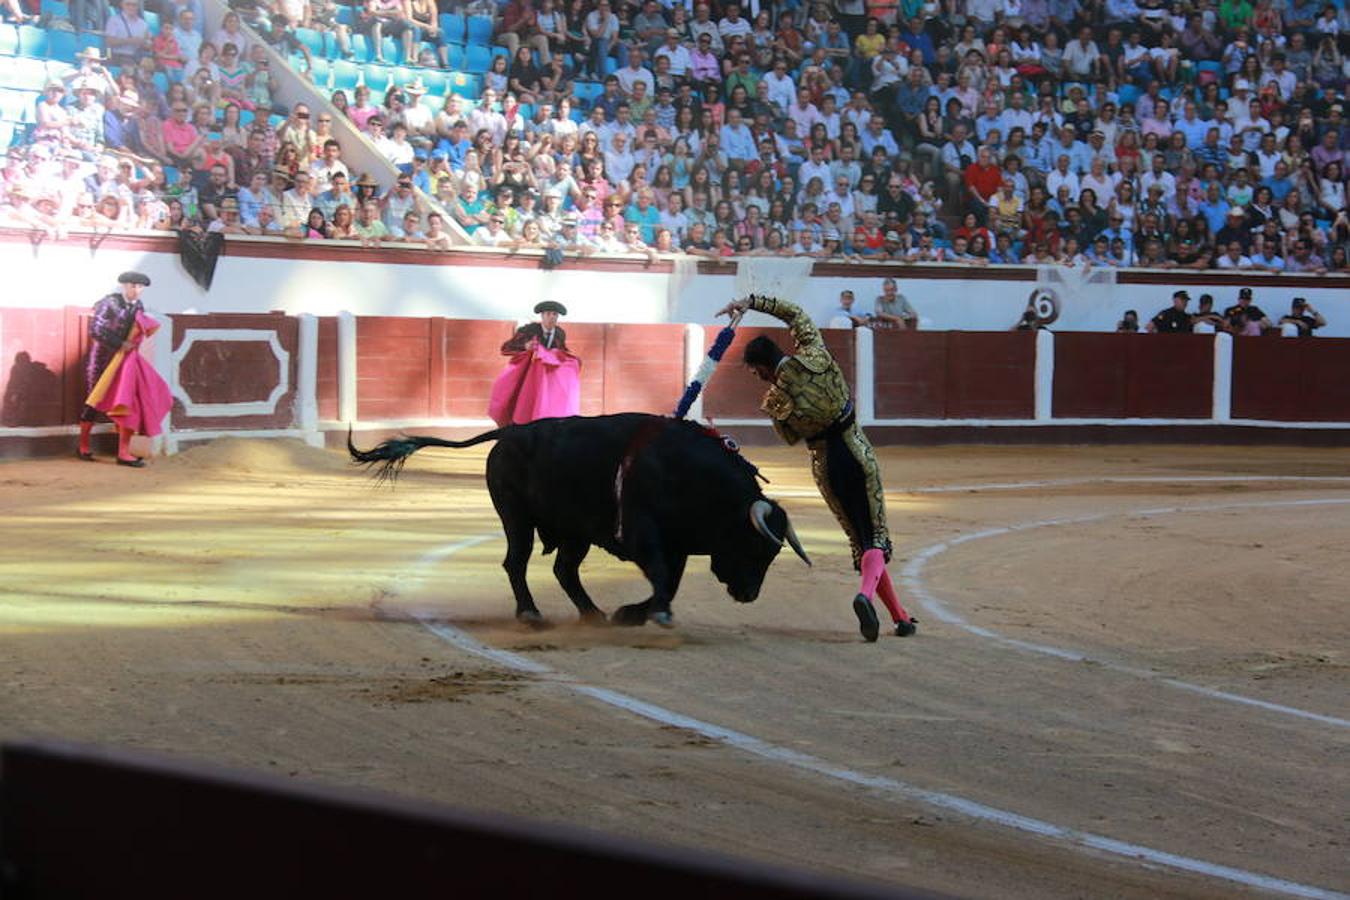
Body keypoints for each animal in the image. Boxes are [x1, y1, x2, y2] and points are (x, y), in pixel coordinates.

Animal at [351, 412, 810, 626]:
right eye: (754, 545)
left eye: (773, 553)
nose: (749, 594)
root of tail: (511, 431)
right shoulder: (644, 533)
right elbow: (662, 577)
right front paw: (652, 614)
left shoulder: (675, 544)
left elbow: (670, 582)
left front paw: (633, 614)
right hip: (517, 517)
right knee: (516, 562)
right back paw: (530, 614)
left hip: (574, 531)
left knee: (564, 569)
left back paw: (592, 613)